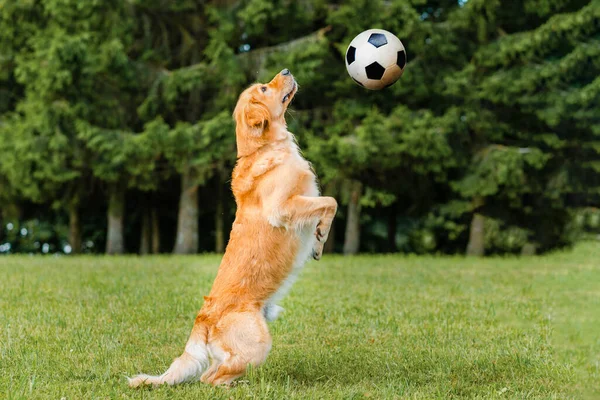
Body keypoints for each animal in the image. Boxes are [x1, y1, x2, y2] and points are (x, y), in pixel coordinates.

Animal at [128, 69, 338, 388]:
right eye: (264, 88)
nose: (286, 71)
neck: (264, 148)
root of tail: (202, 320)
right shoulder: (282, 207)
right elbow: (330, 202)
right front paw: (321, 233)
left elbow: (325, 207)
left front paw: (317, 242)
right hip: (257, 342)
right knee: (210, 379)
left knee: (210, 372)